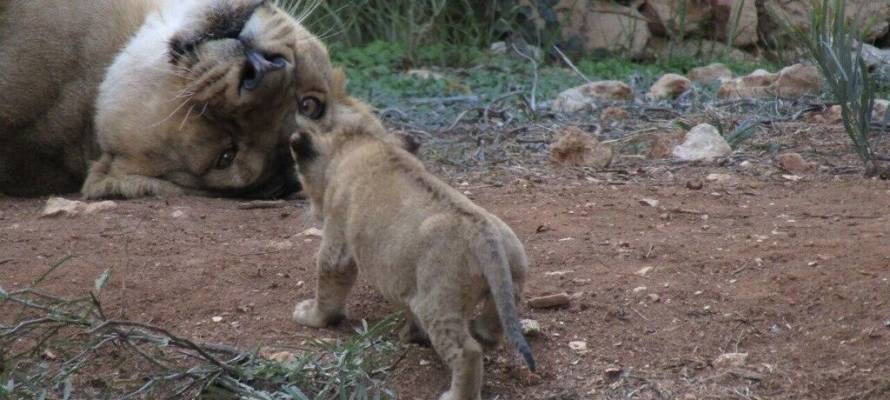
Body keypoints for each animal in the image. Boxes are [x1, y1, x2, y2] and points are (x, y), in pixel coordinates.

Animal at [288, 109, 535, 400]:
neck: (363, 143)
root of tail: (484, 233)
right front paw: (412, 334)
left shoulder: (338, 241)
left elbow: (328, 286)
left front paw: (311, 316)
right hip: (513, 274)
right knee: (492, 329)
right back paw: (477, 332)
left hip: (436, 301)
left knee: (468, 351)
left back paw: (455, 393)